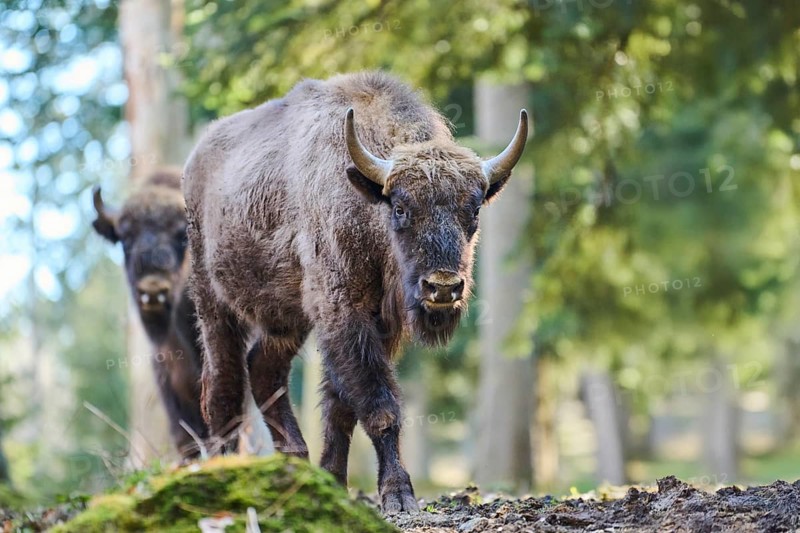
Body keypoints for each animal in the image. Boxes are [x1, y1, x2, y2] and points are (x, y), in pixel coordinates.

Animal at [183, 71, 527, 512]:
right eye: (400, 207)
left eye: (474, 208)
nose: (443, 287)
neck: (368, 202)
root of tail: (194, 161)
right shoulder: (344, 312)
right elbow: (378, 403)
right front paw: (398, 494)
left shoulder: (379, 325)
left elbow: (341, 406)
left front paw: (332, 481)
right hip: (214, 304)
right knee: (222, 384)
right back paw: (223, 470)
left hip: (287, 320)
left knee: (263, 368)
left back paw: (296, 460)